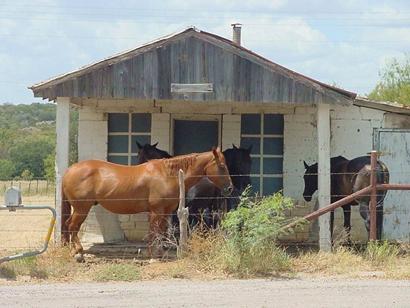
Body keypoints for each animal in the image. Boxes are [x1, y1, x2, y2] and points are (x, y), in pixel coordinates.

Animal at [61, 149, 234, 258]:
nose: (230, 188)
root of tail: (69, 170)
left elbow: (160, 231)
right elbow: (154, 231)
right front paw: (152, 254)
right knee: (72, 226)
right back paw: (78, 251)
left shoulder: (164, 211)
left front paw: (159, 252)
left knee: (68, 225)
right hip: (81, 208)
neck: (167, 175)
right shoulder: (157, 211)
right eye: (222, 166)